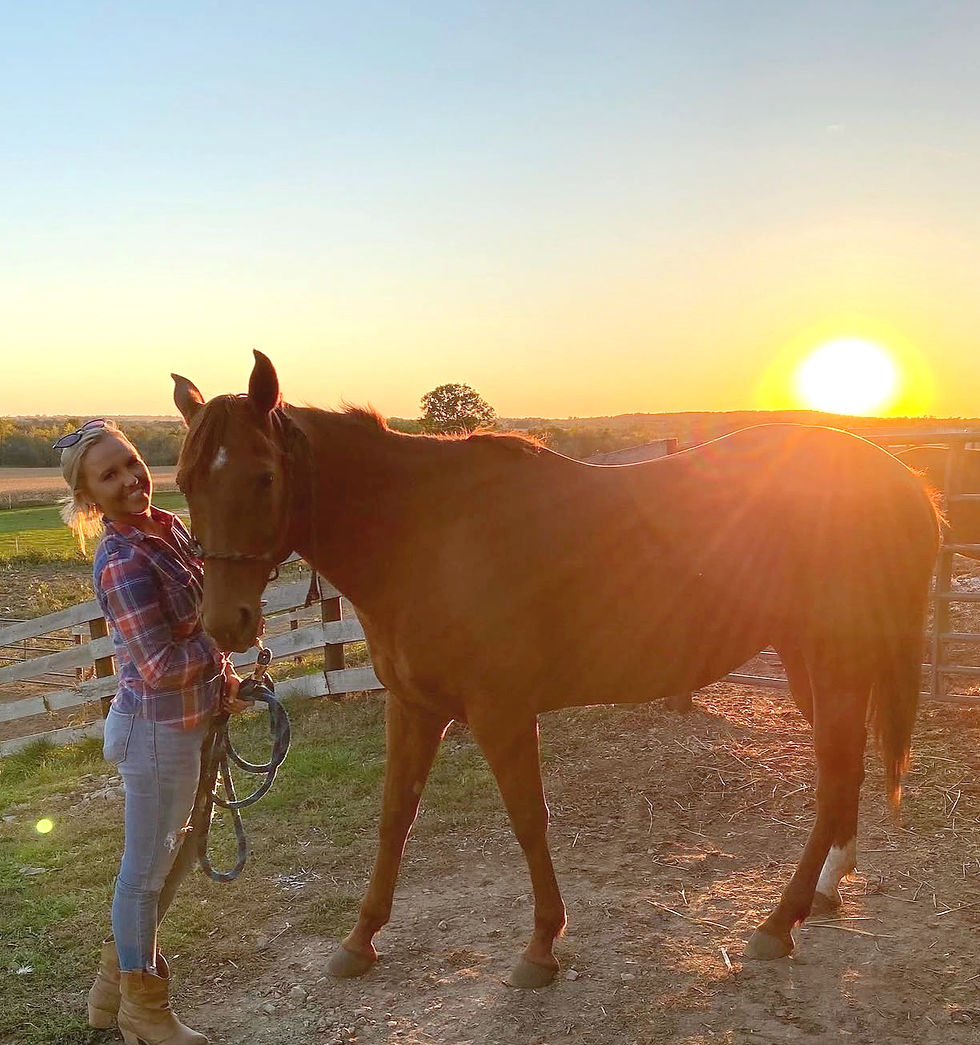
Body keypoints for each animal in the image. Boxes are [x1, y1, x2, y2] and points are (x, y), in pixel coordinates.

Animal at [172, 351, 940, 987]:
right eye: (183, 482)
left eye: (264, 477)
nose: (225, 623)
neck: (425, 533)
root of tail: (901, 478)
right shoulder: (414, 705)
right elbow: (394, 818)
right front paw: (359, 941)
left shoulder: (501, 711)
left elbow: (527, 819)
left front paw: (540, 947)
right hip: (814, 662)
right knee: (845, 773)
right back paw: (824, 893)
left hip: (835, 662)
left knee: (834, 779)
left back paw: (778, 924)